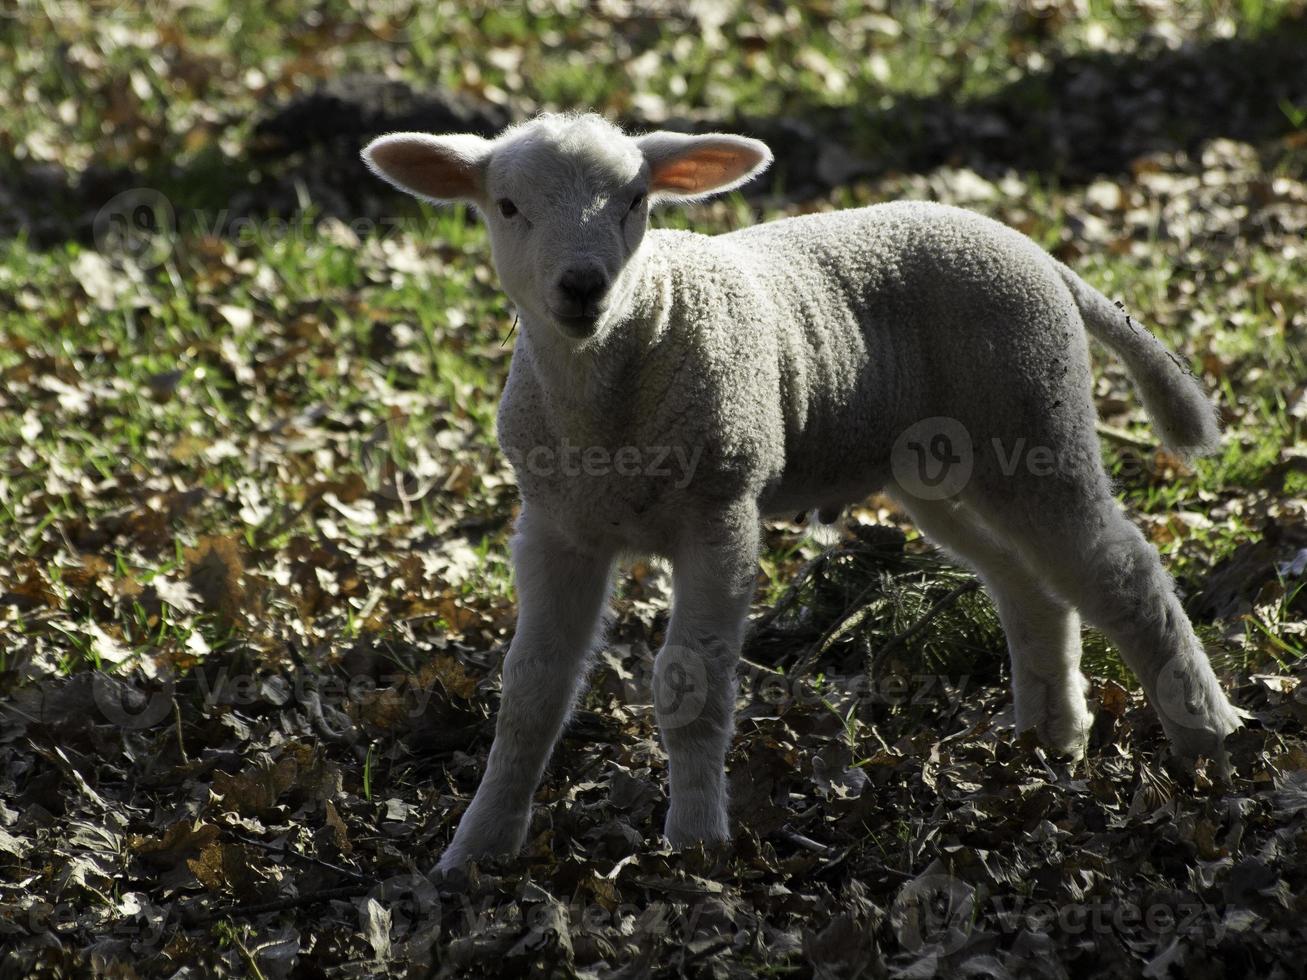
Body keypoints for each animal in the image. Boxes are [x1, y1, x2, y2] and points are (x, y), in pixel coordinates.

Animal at [363, 111, 1239, 872]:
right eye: (507, 206)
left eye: (636, 200)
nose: (582, 286)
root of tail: (1033, 252)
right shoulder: (556, 525)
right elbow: (531, 690)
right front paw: (475, 851)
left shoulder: (718, 509)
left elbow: (688, 684)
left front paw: (695, 844)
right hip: (944, 469)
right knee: (1030, 583)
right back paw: (1053, 737)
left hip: (1032, 415)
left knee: (1119, 571)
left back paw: (1206, 737)